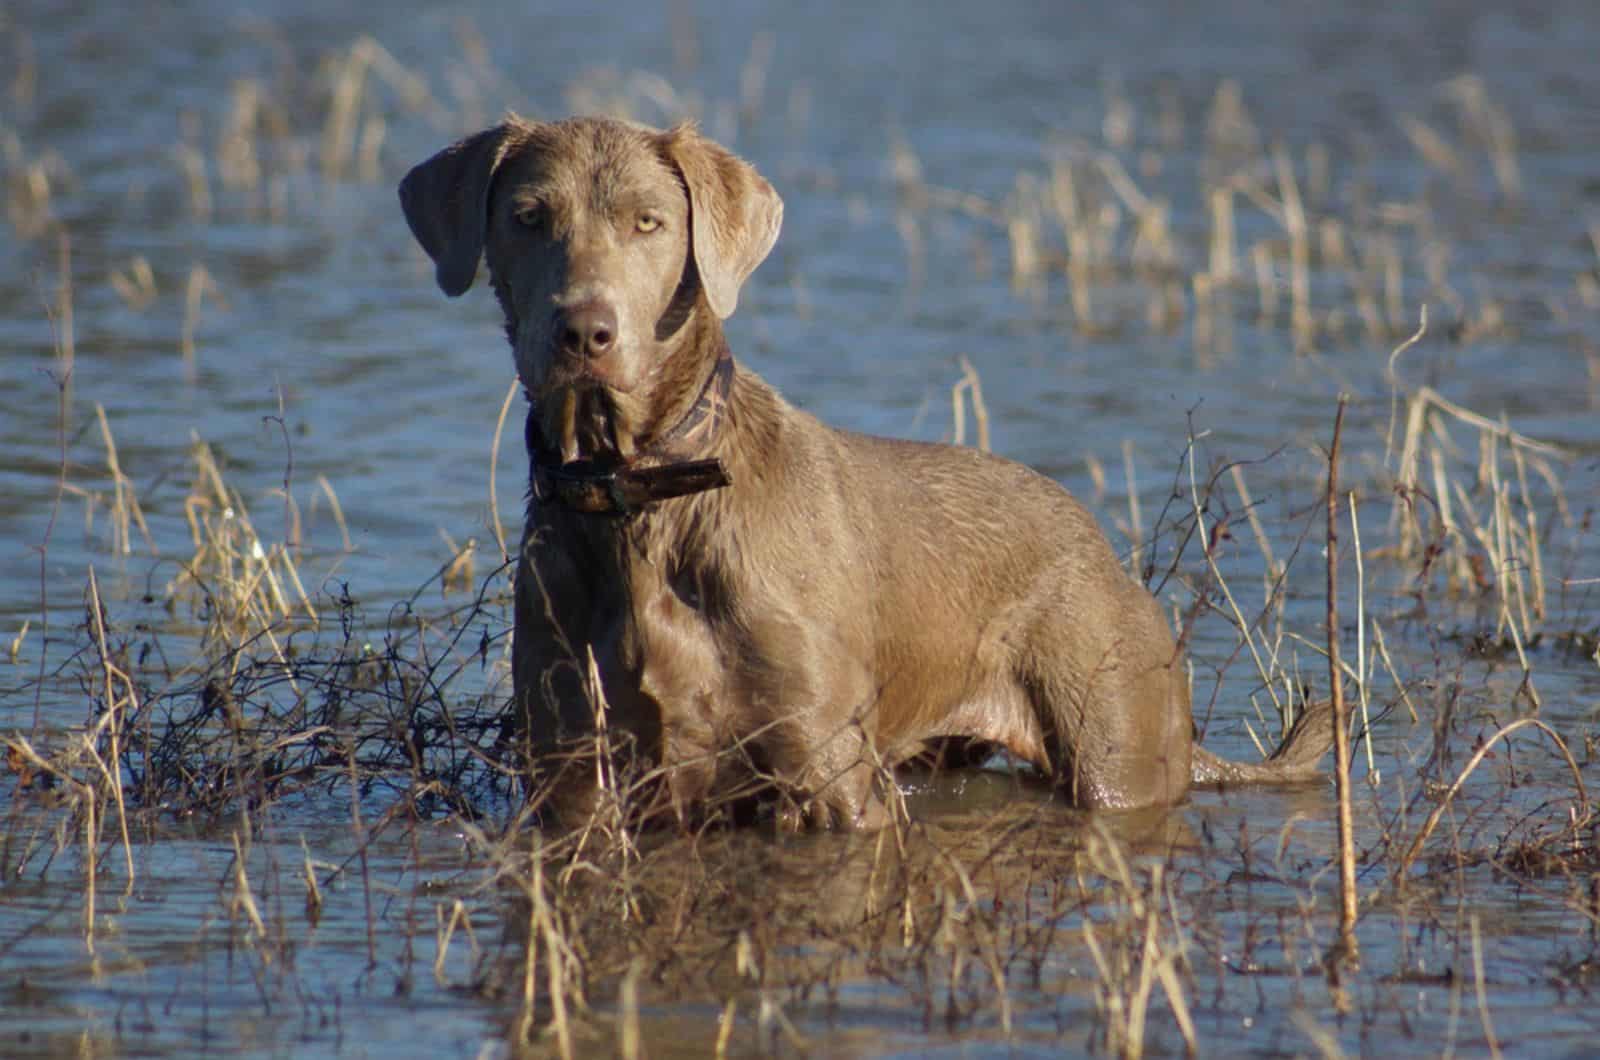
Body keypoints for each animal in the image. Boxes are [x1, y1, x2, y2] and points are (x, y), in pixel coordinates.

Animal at [396, 116, 1324, 832]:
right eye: (529, 216)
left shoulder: (830, 771)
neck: (639, 495)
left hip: (1115, 745)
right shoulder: (573, 779)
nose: (584, 331)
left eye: (648, 222)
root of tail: (1103, 549)